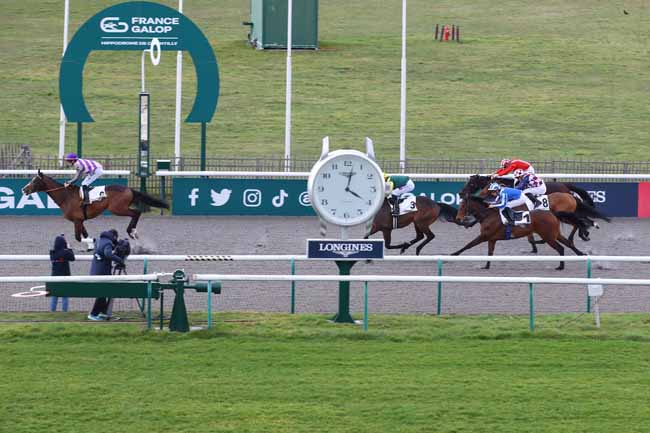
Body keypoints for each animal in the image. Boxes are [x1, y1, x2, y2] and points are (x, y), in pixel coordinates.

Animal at [22, 170, 170, 241]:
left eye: (34, 181)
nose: (24, 189)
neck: (66, 196)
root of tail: (129, 189)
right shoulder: (79, 220)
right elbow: (85, 235)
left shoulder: (77, 220)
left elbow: (78, 237)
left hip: (117, 208)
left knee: (136, 213)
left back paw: (132, 232)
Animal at [450, 194, 584, 268]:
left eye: (462, 206)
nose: (458, 218)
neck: (488, 215)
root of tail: (552, 213)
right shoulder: (491, 239)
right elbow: (490, 253)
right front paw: (486, 266)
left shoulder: (484, 236)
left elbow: (468, 245)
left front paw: (453, 255)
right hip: (555, 234)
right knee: (568, 243)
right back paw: (581, 254)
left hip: (548, 237)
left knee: (560, 248)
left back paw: (560, 266)